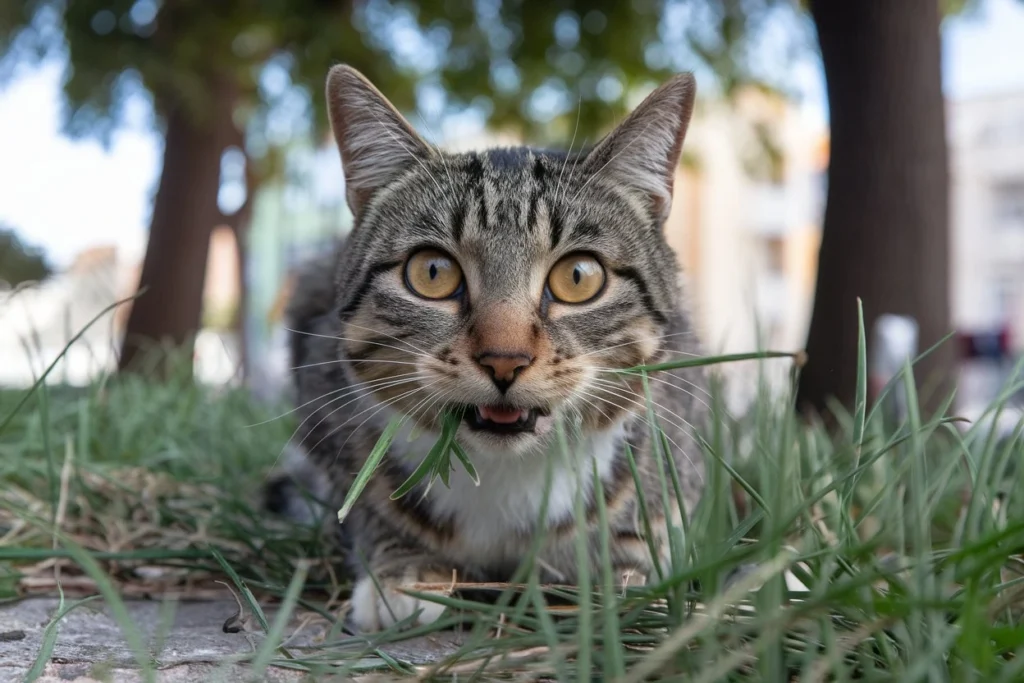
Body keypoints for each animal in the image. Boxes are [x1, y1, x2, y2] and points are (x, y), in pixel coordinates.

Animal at [268, 66, 708, 634]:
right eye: (432, 272)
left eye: (579, 276)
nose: (505, 359)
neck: (506, 476)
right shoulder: (322, 391)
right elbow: (364, 500)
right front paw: (405, 569)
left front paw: (626, 571)